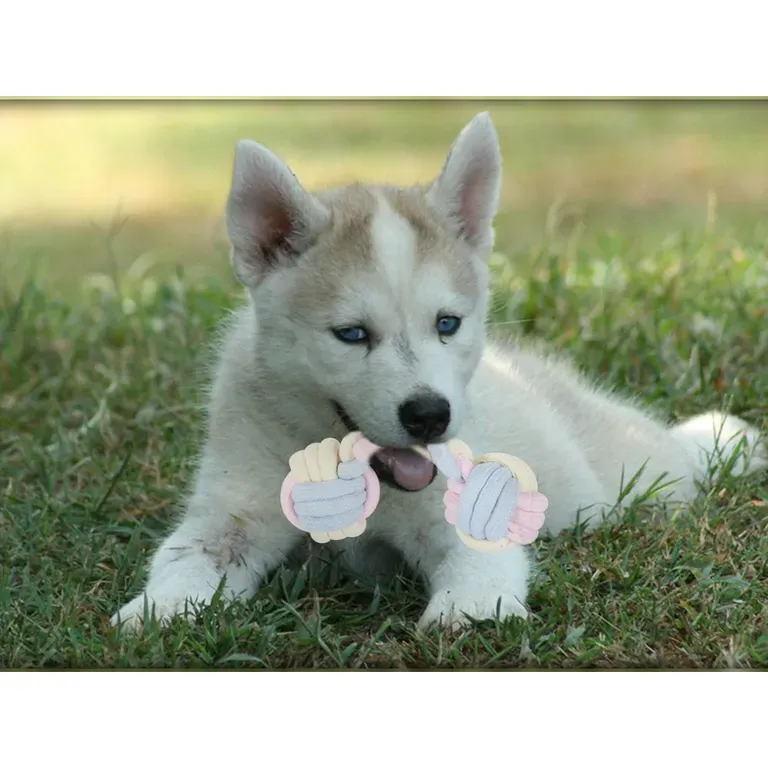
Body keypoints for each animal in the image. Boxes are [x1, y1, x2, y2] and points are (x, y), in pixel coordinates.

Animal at [111, 112, 764, 632]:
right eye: (352, 334)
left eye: (447, 324)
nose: (430, 415)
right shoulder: (231, 517)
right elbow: (184, 561)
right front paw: (155, 612)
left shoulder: (465, 506)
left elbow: (480, 563)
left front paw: (466, 614)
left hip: (637, 479)